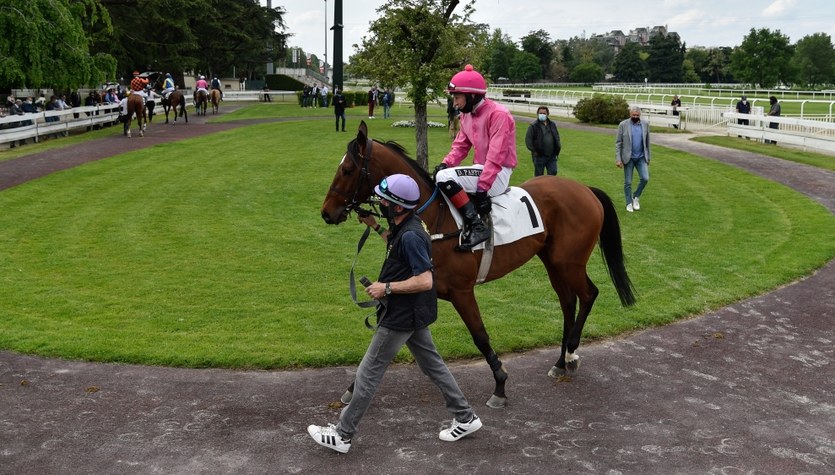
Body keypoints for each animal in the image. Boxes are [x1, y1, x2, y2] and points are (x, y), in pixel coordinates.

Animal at [320, 122, 632, 410]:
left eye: (347, 169)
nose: (326, 212)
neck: (434, 220)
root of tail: (585, 189)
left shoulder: (462, 291)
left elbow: (480, 336)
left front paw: (500, 386)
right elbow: (386, 340)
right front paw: (353, 387)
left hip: (570, 262)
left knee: (589, 294)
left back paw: (571, 353)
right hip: (552, 262)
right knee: (568, 303)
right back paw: (559, 361)